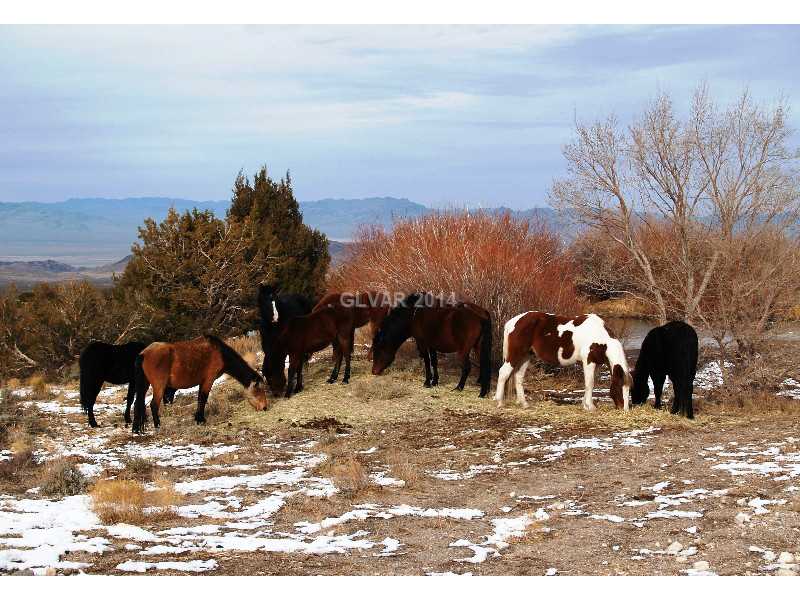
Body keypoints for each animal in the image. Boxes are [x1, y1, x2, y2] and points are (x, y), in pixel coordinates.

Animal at [132, 335, 268, 433]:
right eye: (259, 390)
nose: (264, 407)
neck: (219, 352)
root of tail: (143, 354)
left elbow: (200, 399)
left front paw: (198, 418)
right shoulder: (208, 380)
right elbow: (203, 398)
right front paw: (201, 419)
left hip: (144, 386)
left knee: (138, 405)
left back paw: (136, 429)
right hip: (159, 386)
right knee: (154, 405)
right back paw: (158, 426)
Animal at [494, 312, 632, 411]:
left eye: (629, 388)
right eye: (619, 387)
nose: (624, 409)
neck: (599, 336)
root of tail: (513, 322)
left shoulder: (596, 364)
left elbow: (589, 384)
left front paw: (585, 405)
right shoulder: (588, 361)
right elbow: (590, 384)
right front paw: (590, 407)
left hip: (526, 356)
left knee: (518, 377)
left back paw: (524, 404)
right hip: (515, 355)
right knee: (503, 373)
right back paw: (499, 402)